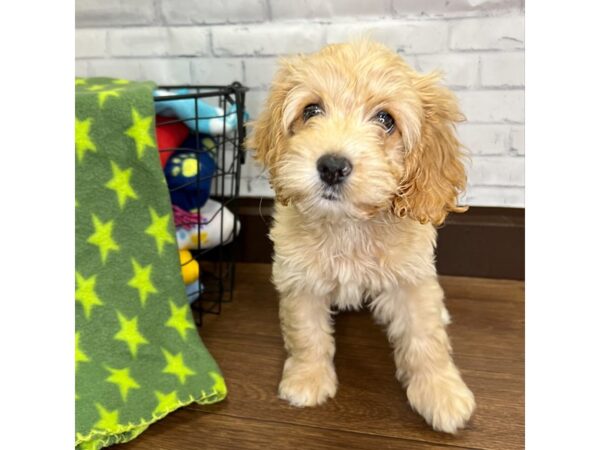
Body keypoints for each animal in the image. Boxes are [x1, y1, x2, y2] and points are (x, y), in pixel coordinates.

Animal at [246, 40, 476, 434]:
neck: (349, 224)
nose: (332, 166)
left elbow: (425, 337)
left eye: (386, 120)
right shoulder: (299, 278)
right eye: (311, 110)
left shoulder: (411, 280)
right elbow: (306, 333)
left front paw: (440, 393)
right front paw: (307, 379)